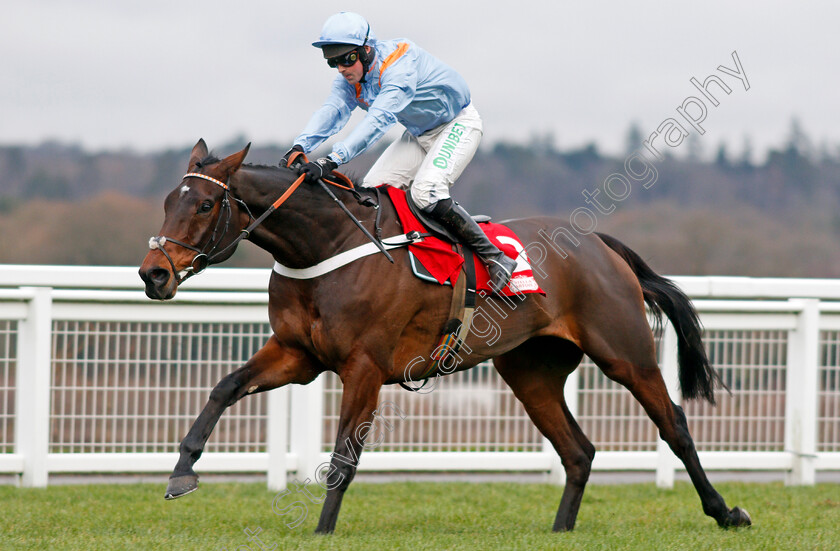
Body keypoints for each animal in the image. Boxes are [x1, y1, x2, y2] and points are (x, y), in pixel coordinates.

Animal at [139, 140, 756, 532]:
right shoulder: (297, 354)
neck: (328, 244)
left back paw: (726, 511)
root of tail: (599, 244)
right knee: (578, 451)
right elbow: (224, 388)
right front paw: (181, 472)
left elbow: (342, 458)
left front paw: (320, 531)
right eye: (168, 201)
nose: (154, 274)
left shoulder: (365, 367)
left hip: (625, 352)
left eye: (205, 203)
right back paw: (561, 529)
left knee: (674, 425)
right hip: (530, 372)